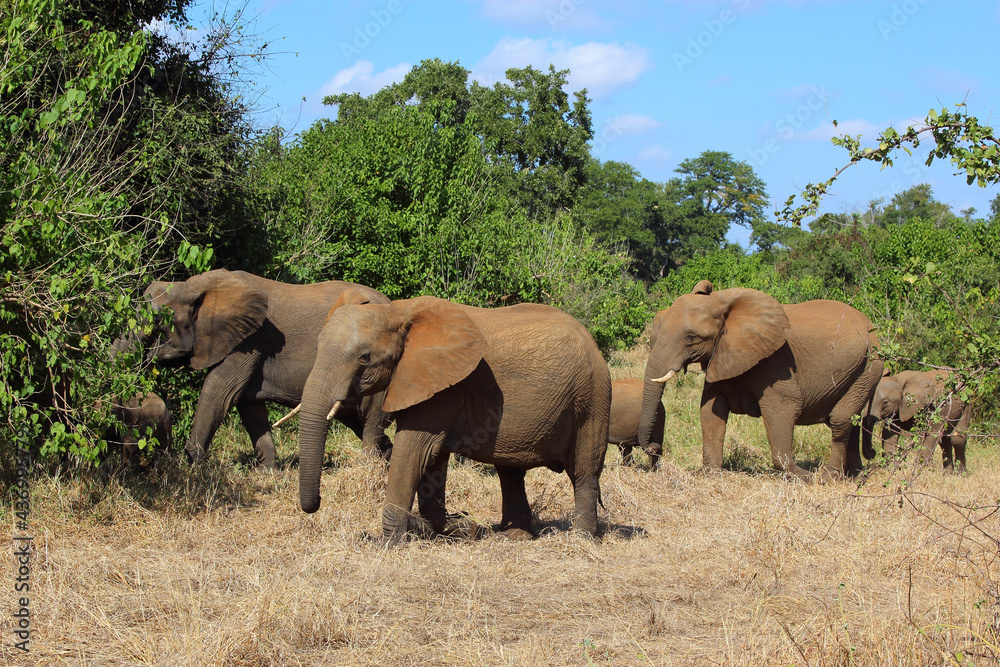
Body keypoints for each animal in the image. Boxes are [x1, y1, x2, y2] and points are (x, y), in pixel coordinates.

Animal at [143, 268, 392, 468]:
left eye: (158, 322)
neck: (191, 286)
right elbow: (248, 406)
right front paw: (268, 472)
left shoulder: (246, 343)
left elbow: (219, 394)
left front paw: (192, 467)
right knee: (359, 422)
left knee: (371, 423)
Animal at [292, 294, 612, 544]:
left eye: (364, 357)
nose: (315, 505)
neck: (397, 311)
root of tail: (593, 342)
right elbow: (432, 459)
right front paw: (456, 527)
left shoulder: (444, 387)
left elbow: (413, 450)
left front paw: (386, 543)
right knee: (510, 472)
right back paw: (512, 536)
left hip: (591, 400)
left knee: (584, 472)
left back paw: (581, 540)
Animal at [640, 280, 884, 480]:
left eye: (691, 338)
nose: (653, 448)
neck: (721, 302)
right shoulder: (723, 355)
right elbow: (711, 409)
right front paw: (711, 473)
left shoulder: (774, 361)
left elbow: (782, 408)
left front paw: (802, 476)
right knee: (852, 421)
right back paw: (854, 477)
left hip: (868, 366)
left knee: (840, 419)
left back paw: (828, 477)